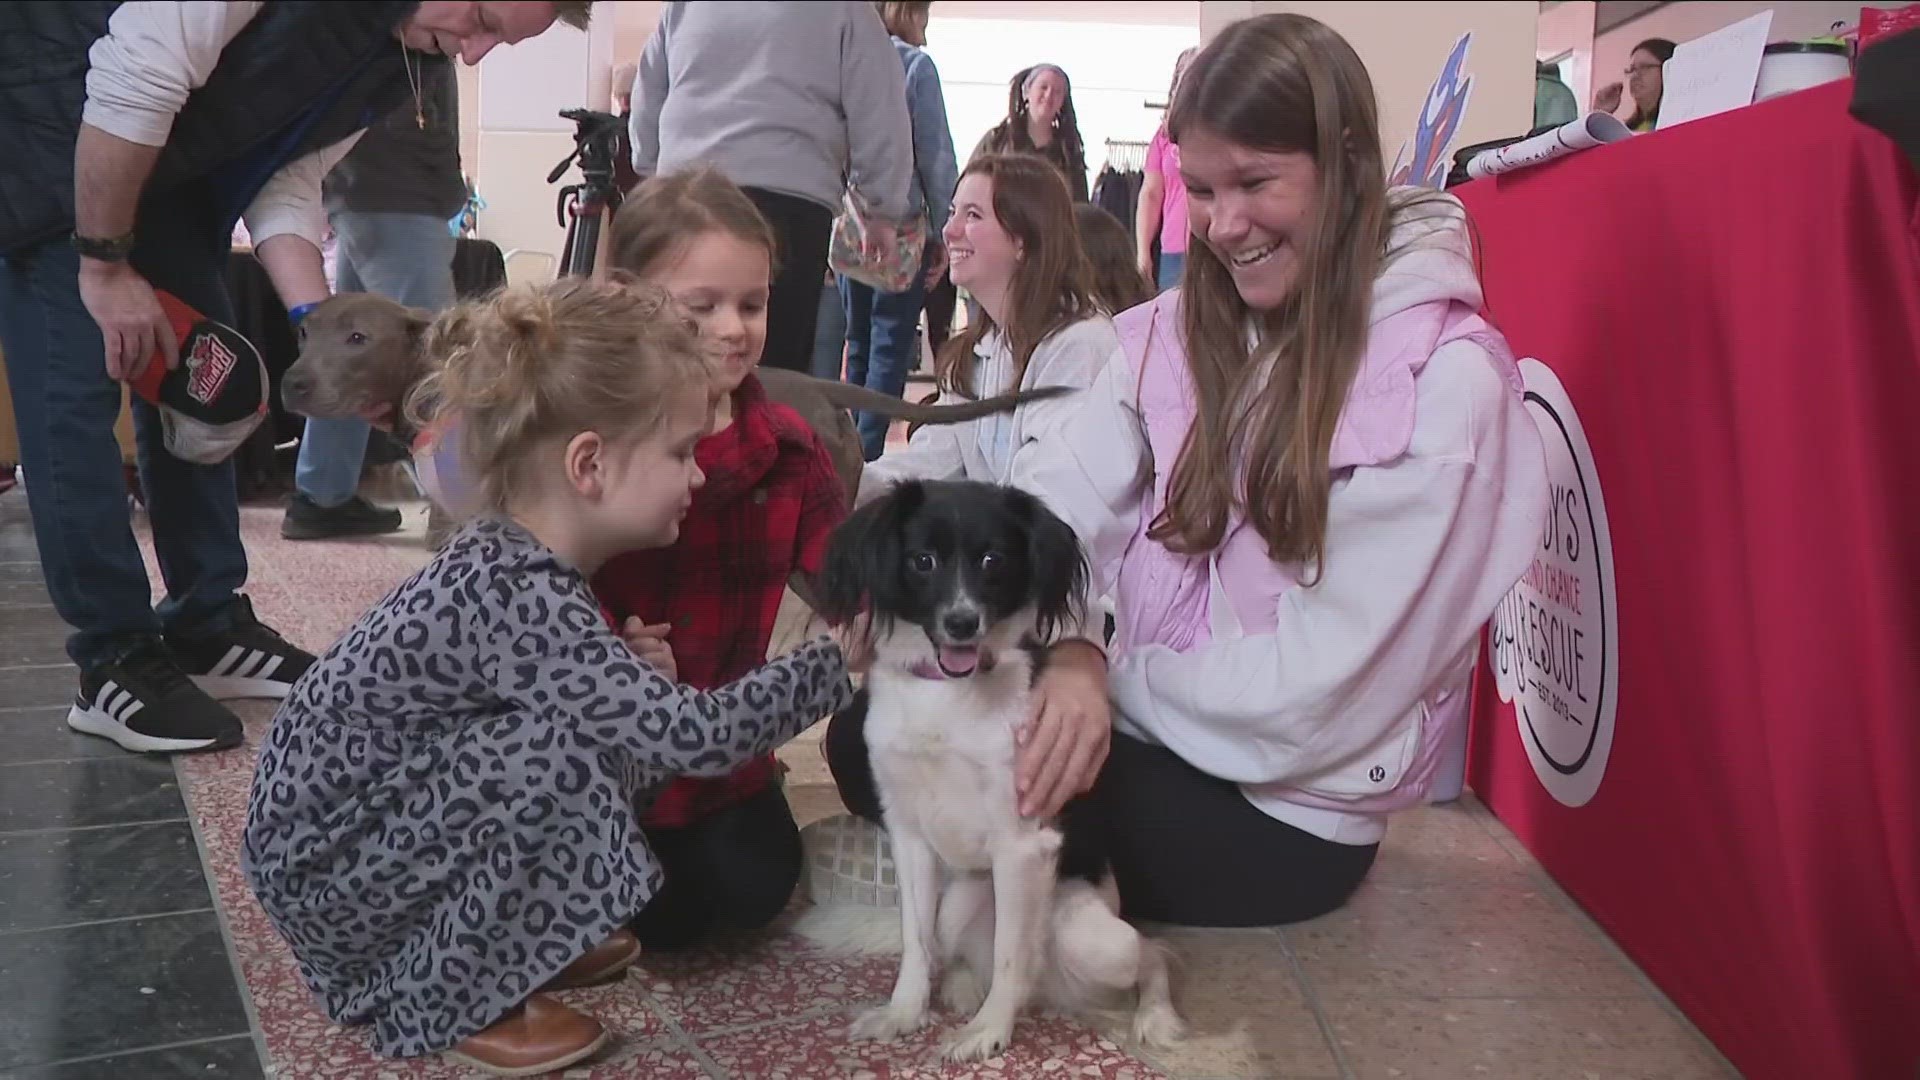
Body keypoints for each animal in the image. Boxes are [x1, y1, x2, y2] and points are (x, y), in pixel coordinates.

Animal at [814, 478, 1182, 1060]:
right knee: (956, 952)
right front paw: (904, 1013)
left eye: (994, 561)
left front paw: (988, 1031)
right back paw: (964, 985)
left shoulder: (1021, 845)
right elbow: (916, 943)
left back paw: (1154, 1015)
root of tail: (1054, 990)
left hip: (1103, 942)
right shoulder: (908, 834)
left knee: (1151, 954)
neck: (946, 695)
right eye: (922, 561)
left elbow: (1012, 954)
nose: (962, 623)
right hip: (960, 902)